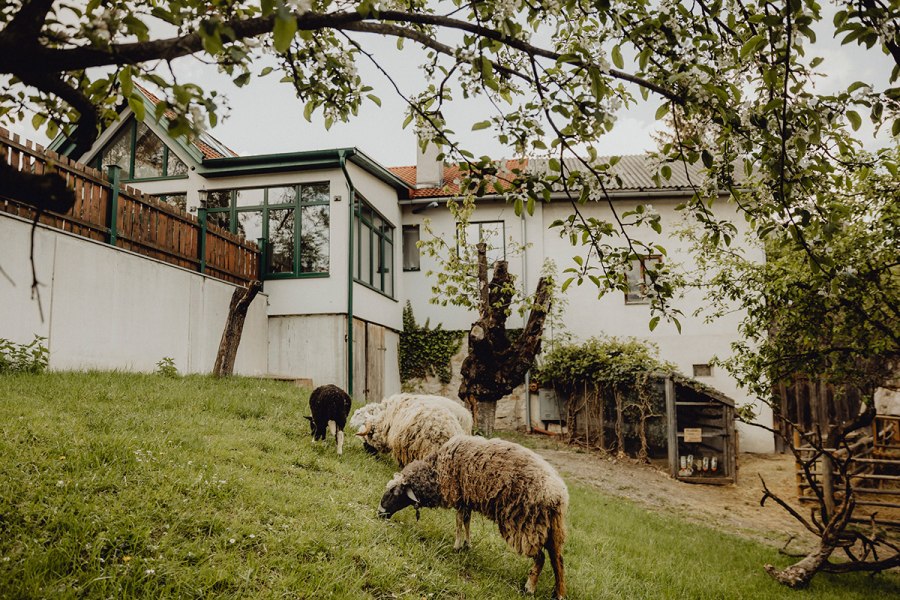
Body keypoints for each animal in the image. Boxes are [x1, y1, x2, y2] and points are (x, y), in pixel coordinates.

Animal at [380, 436, 568, 600]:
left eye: (393, 492)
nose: (380, 513)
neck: (437, 471)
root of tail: (558, 495)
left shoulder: (458, 494)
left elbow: (458, 522)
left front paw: (457, 546)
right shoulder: (466, 498)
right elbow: (466, 521)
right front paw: (467, 544)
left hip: (526, 524)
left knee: (541, 558)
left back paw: (530, 588)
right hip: (550, 527)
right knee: (558, 560)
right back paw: (558, 593)